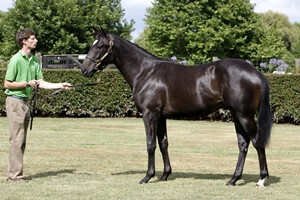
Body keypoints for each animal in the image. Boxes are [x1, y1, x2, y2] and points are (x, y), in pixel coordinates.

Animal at [81, 28, 274, 188]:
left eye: (100, 46)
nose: (84, 69)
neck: (145, 71)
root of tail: (256, 72)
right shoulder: (160, 117)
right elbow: (163, 144)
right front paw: (165, 175)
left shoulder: (149, 114)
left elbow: (150, 144)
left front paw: (147, 177)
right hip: (236, 115)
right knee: (243, 144)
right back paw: (233, 179)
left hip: (245, 115)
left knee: (257, 142)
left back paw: (261, 179)